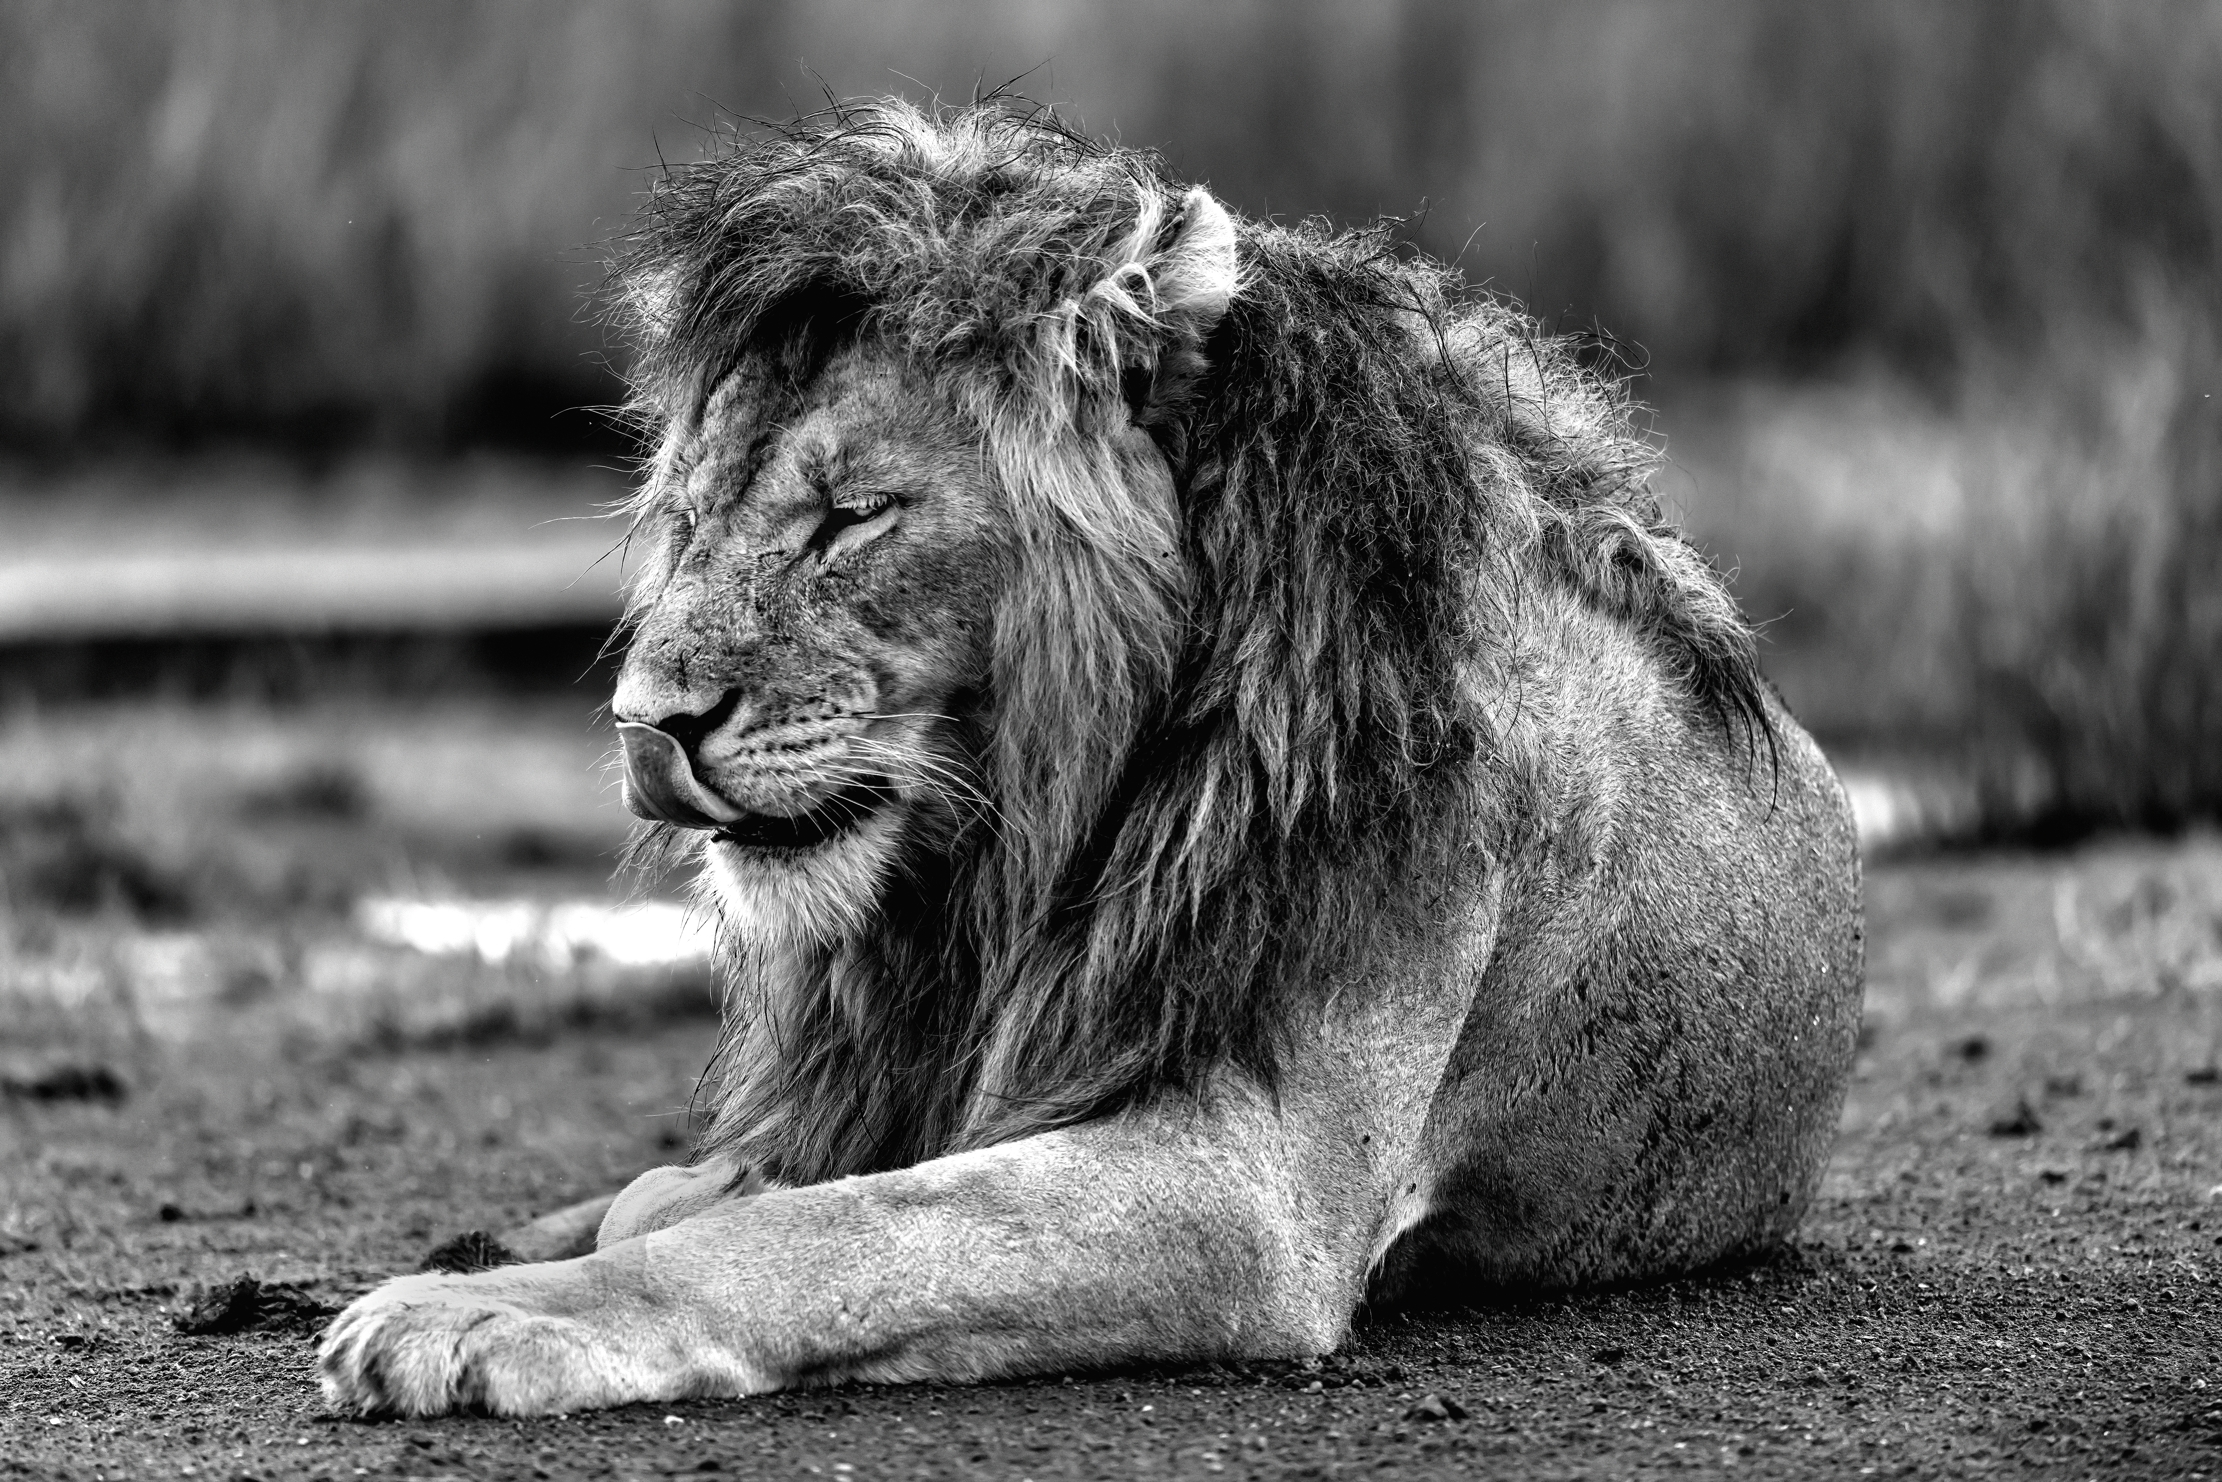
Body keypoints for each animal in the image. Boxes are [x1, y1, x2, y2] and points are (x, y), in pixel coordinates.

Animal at [318, 99, 1862, 1417]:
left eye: (851, 515)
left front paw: (479, 1315)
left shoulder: (1252, 1190)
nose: (647, 723)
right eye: (690, 519)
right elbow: (719, 1192)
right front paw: (504, 1254)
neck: (1016, 843)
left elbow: (825, 1231)